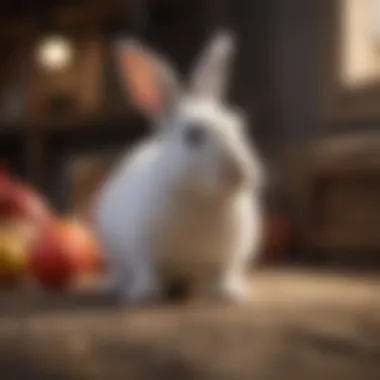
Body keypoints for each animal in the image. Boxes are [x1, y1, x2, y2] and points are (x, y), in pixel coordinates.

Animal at [94, 31, 264, 304]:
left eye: (237, 125)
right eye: (193, 135)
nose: (241, 172)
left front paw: (233, 294)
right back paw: (116, 285)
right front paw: (143, 295)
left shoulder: (231, 255)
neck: (200, 200)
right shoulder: (142, 250)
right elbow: (147, 272)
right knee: (120, 271)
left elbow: (226, 273)